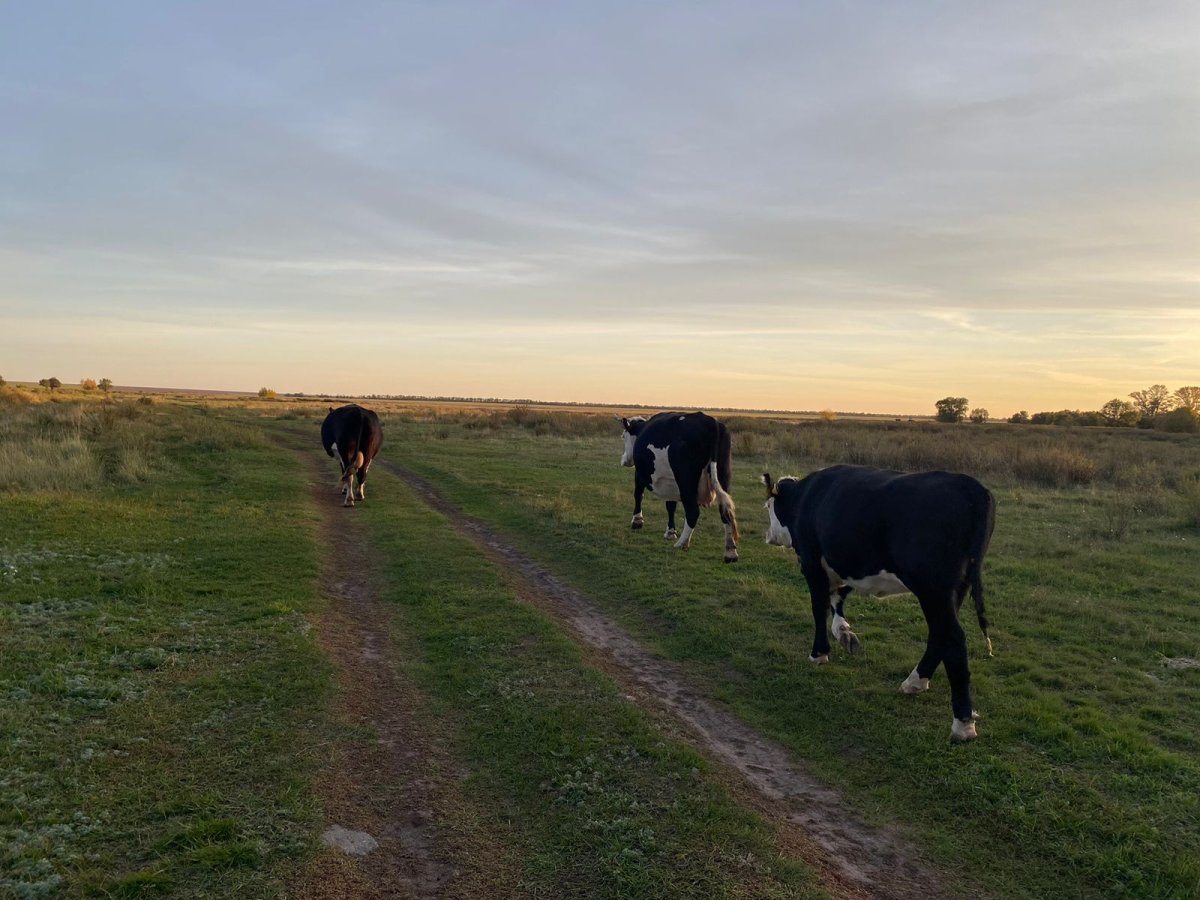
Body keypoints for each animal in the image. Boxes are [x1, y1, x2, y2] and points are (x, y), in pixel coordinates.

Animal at [619, 415, 739, 564]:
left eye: (623, 436)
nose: (624, 460)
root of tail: (710, 421)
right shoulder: (671, 482)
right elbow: (671, 505)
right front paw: (670, 532)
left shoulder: (640, 474)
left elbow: (638, 495)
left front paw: (637, 521)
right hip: (723, 475)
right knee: (725, 511)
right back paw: (730, 552)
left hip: (686, 479)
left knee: (693, 512)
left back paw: (682, 543)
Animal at [763, 465, 998, 739]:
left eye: (769, 506)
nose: (768, 536)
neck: (805, 498)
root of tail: (971, 486)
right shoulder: (844, 564)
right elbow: (838, 598)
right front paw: (844, 634)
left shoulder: (811, 560)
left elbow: (819, 607)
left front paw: (819, 653)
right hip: (955, 588)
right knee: (939, 633)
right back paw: (915, 682)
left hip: (933, 588)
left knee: (953, 638)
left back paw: (963, 725)